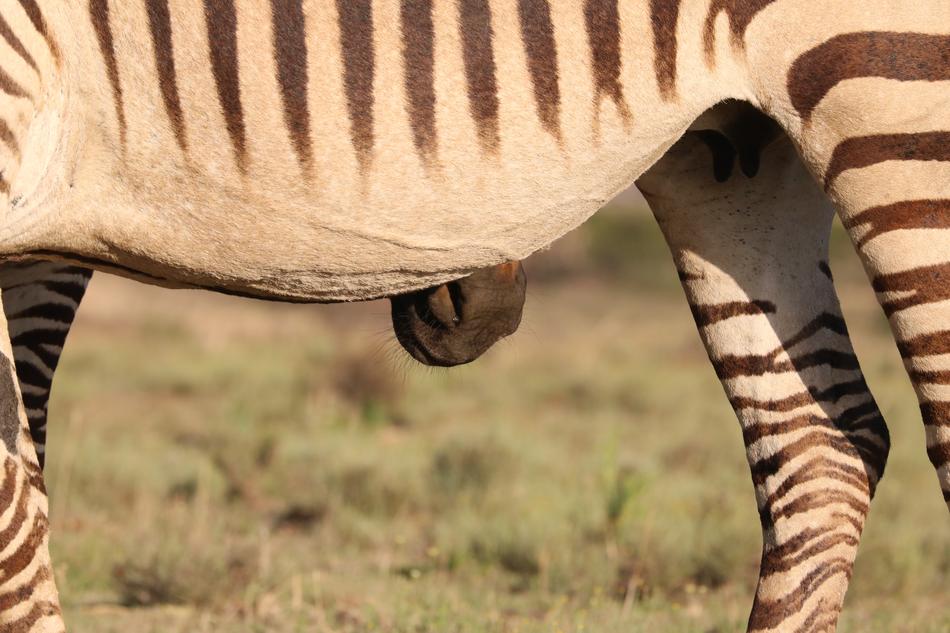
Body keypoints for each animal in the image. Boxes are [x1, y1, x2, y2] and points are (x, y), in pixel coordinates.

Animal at [0, 1, 945, 631]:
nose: (487, 307)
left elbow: (14, 499)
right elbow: (27, 483)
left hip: (891, 87)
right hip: (736, 151)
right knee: (820, 448)